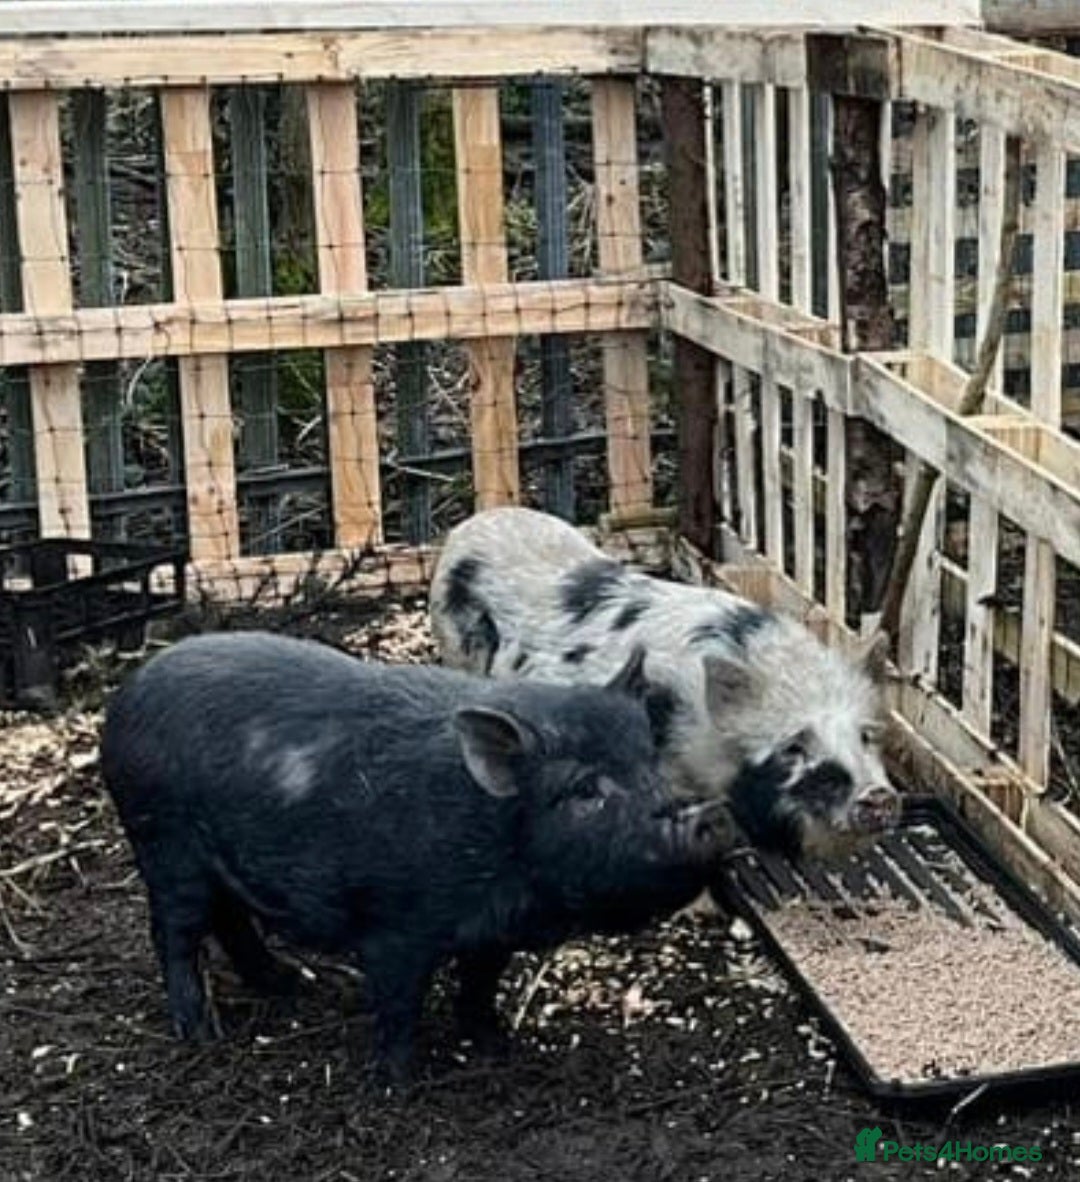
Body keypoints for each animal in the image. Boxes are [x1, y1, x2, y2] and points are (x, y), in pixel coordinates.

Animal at [100, 631, 732, 1081]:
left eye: (650, 766)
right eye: (584, 791)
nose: (710, 815)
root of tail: (126, 696)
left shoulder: (490, 936)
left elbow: (478, 987)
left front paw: (498, 1046)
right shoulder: (395, 926)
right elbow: (400, 1002)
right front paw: (399, 1083)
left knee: (232, 921)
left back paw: (297, 982)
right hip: (164, 842)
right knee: (176, 934)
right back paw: (203, 1033)